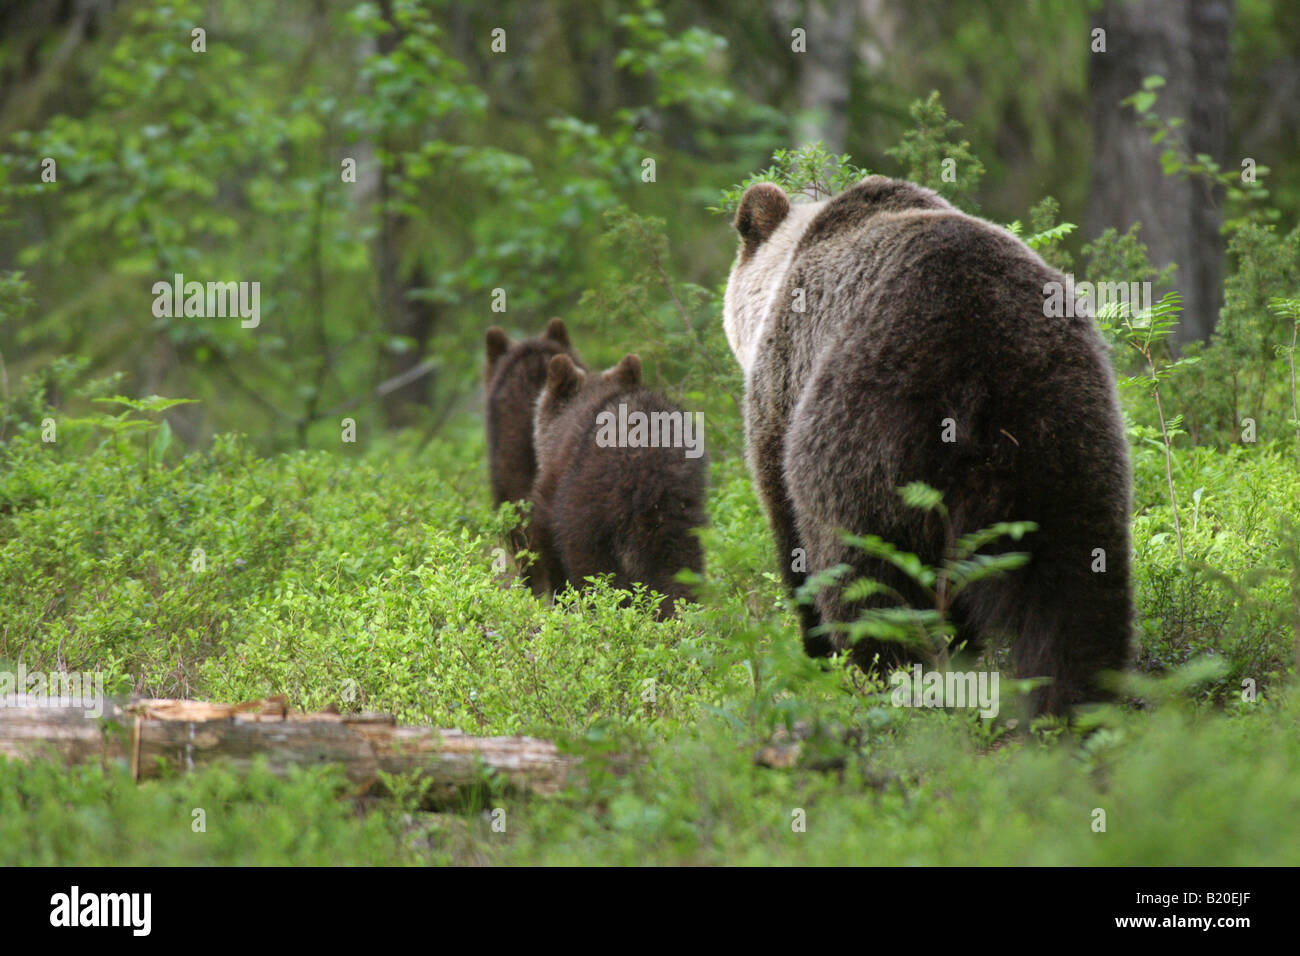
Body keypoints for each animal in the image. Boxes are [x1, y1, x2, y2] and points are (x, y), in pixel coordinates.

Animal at [723, 175, 1132, 716]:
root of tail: (980, 361)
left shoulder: (783, 388)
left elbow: (787, 527)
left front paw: (815, 652)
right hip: (1064, 424)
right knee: (1074, 579)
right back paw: (1077, 705)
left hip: (862, 433)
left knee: (866, 578)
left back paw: (893, 685)